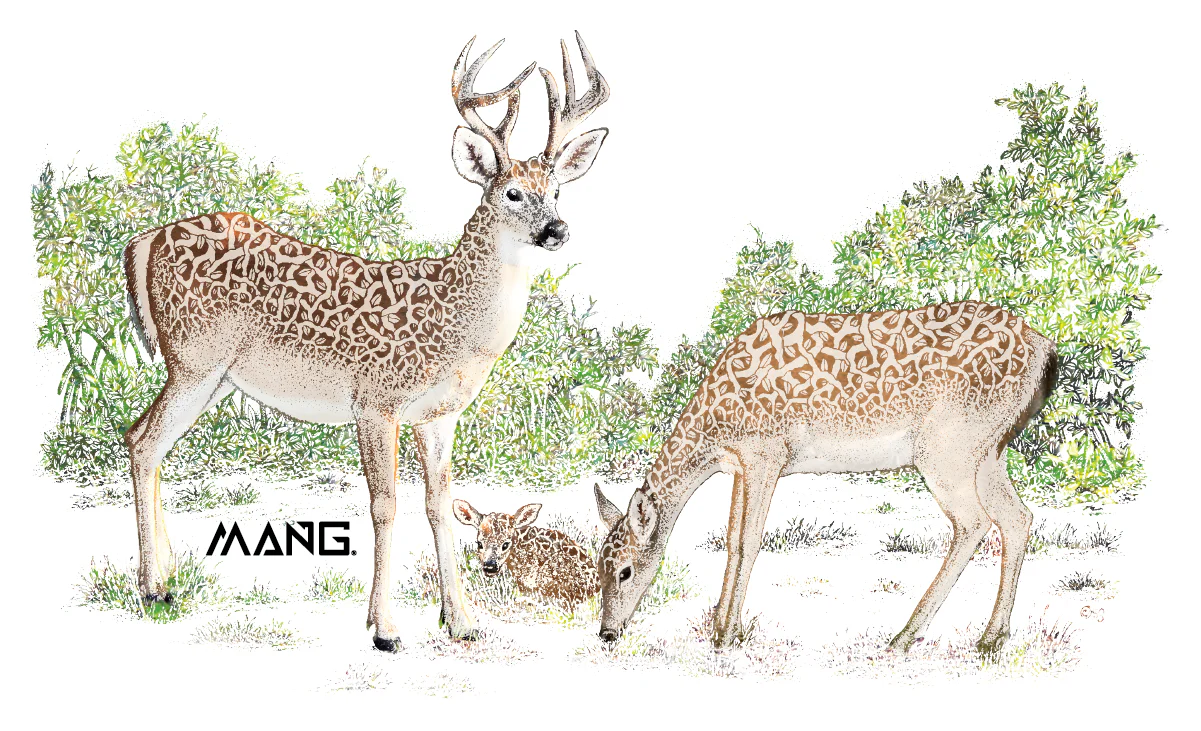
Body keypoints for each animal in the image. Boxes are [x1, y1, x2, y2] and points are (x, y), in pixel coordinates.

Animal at [593, 302, 1058, 653]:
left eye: (625, 571)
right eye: (599, 566)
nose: (607, 633)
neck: (715, 426)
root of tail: (1045, 348)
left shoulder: (766, 453)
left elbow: (748, 542)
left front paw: (725, 636)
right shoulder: (742, 465)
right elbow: (731, 540)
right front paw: (724, 630)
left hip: (946, 448)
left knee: (974, 522)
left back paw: (904, 637)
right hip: (986, 451)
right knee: (1018, 517)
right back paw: (991, 638)